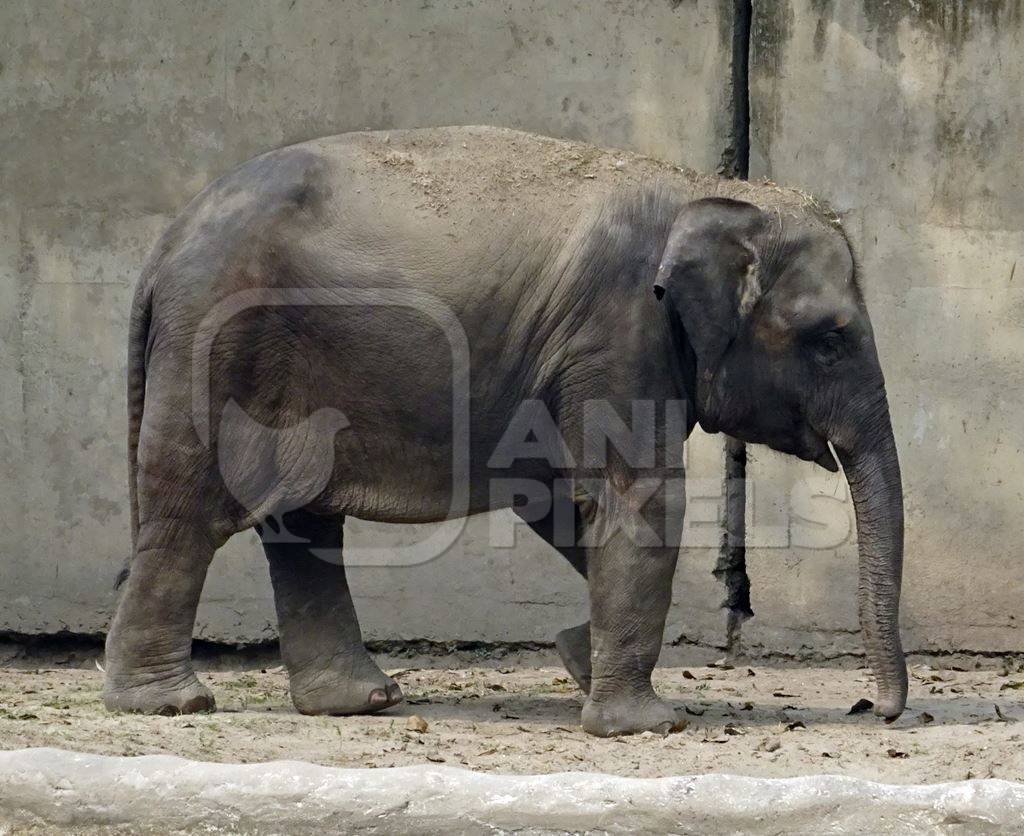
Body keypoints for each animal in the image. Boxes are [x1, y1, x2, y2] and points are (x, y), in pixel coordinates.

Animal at [101, 125, 905, 737]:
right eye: (830, 340)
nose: (875, 708)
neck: (706, 190)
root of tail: (164, 248)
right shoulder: (617, 333)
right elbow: (639, 499)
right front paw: (646, 723)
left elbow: (562, 500)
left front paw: (580, 657)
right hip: (218, 349)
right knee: (189, 513)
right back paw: (169, 703)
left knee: (300, 521)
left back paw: (362, 701)